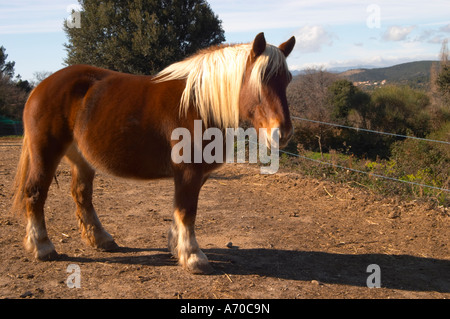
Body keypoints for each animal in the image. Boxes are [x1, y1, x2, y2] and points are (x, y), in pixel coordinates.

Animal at [12, 32, 296, 276]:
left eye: (287, 80)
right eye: (261, 80)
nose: (282, 133)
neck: (198, 104)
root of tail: (41, 87)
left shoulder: (196, 175)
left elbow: (180, 210)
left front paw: (176, 247)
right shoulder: (189, 172)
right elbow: (187, 211)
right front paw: (193, 256)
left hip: (81, 158)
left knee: (82, 195)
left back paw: (101, 239)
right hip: (45, 153)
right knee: (35, 193)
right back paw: (43, 247)